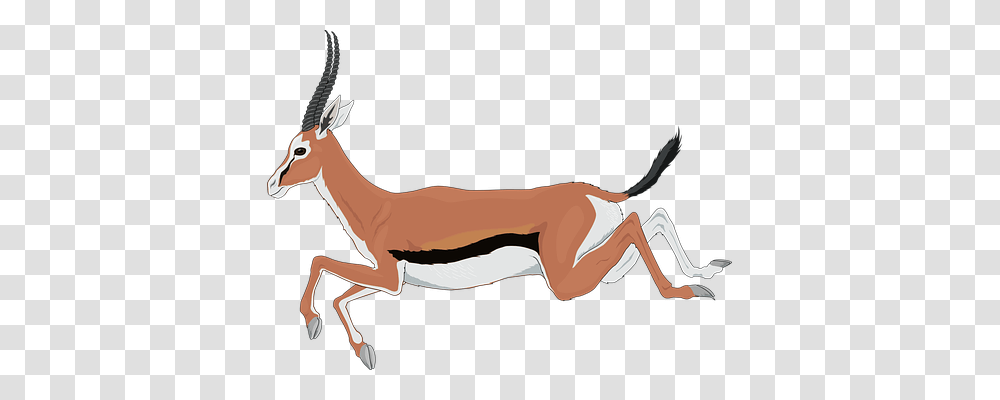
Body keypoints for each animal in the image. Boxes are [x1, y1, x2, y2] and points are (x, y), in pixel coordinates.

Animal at [267, 31, 732, 370]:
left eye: (300, 149)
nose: (271, 185)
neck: (380, 209)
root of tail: (595, 192)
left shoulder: (386, 274)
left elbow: (320, 265)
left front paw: (322, 329)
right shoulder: (391, 280)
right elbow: (339, 291)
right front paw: (358, 347)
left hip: (565, 282)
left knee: (638, 223)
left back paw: (689, 291)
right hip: (601, 268)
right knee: (652, 217)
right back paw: (707, 271)